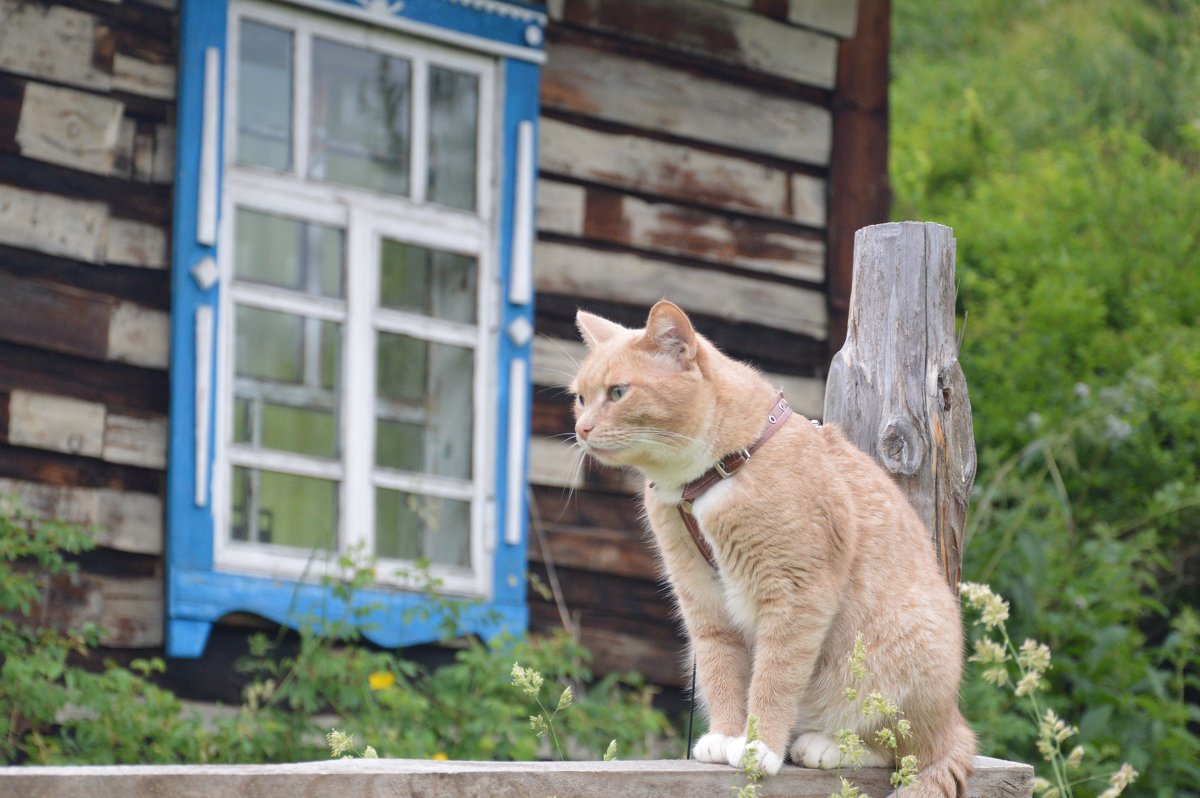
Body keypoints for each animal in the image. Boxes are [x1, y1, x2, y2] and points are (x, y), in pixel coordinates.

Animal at [568, 300, 974, 796]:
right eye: (580, 397)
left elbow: (774, 678)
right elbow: (721, 671)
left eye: (619, 392)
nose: (581, 428)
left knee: (898, 747)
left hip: (901, 654)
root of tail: (954, 723)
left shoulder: (796, 596)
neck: (711, 476)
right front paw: (727, 736)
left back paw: (822, 745)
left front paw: (759, 746)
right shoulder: (702, 599)